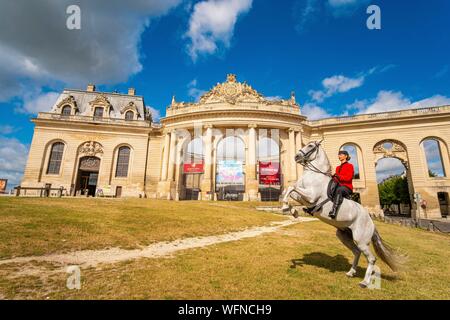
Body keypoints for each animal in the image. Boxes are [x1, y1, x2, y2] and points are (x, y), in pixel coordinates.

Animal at [282, 140, 404, 288]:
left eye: (310, 146)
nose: (296, 157)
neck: (314, 175)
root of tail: (371, 221)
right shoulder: (304, 198)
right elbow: (289, 191)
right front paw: (292, 210)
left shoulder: (311, 197)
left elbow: (291, 187)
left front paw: (285, 207)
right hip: (343, 235)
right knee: (356, 252)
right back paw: (351, 272)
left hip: (361, 240)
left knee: (371, 258)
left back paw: (365, 282)